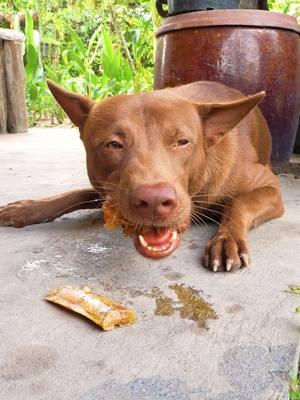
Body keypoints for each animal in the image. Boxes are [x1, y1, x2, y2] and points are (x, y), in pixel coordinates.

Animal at [0, 81, 284, 272]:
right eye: (113, 145)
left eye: (182, 142)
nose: (155, 201)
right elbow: (77, 194)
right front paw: (27, 208)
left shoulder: (270, 186)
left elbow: (239, 203)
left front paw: (227, 239)